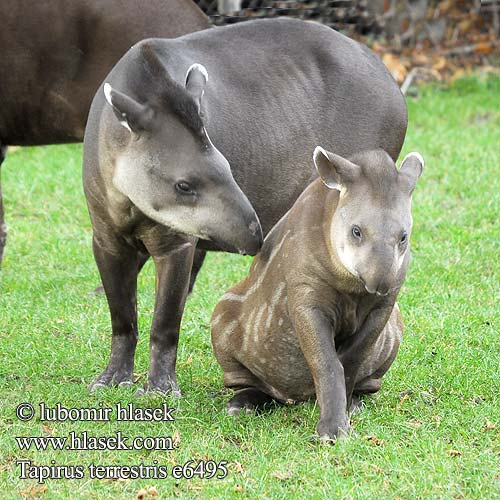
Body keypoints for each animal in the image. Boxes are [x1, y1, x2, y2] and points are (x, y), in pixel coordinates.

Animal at [209, 146, 424, 440]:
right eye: (356, 231)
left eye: (403, 237)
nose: (380, 283)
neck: (352, 284)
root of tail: (292, 397)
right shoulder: (305, 293)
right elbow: (326, 361)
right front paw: (332, 432)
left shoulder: (386, 305)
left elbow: (352, 358)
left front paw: (342, 414)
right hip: (223, 316)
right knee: (248, 381)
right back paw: (242, 404)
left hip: (395, 328)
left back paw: (355, 401)